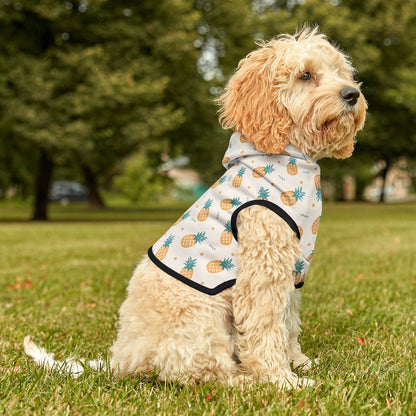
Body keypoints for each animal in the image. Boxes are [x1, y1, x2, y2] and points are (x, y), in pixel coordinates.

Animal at [24, 27, 366, 388]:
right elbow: (266, 328)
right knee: (201, 371)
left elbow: (288, 323)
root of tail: (122, 359)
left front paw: (299, 363)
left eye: (340, 72)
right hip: (202, 317)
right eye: (305, 75)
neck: (287, 156)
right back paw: (244, 380)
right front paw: (281, 380)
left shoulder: (292, 271)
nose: (352, 94)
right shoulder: (262, 270)